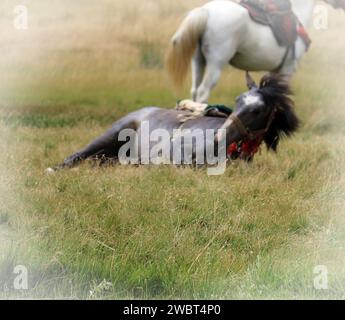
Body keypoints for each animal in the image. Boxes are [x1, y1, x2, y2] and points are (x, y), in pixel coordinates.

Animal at [165, 0, 342, 102]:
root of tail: (206, 11)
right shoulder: (287, 69)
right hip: (216, 64)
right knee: (203, 92)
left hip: (198, 61)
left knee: (194, 91)